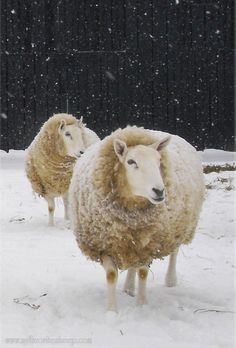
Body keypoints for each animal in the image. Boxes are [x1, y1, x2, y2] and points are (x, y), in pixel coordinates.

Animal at [68, 126, 205, 312]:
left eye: (159, 160)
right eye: (131, 162)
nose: (159, 191)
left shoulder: (150, 244)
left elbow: (143, 273)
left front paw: (142, 304)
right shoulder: (104, 243)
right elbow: (111, 275)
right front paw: (112, 310)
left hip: (178, 227)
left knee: (174, 252)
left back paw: (170, 280)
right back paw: (129, 287)